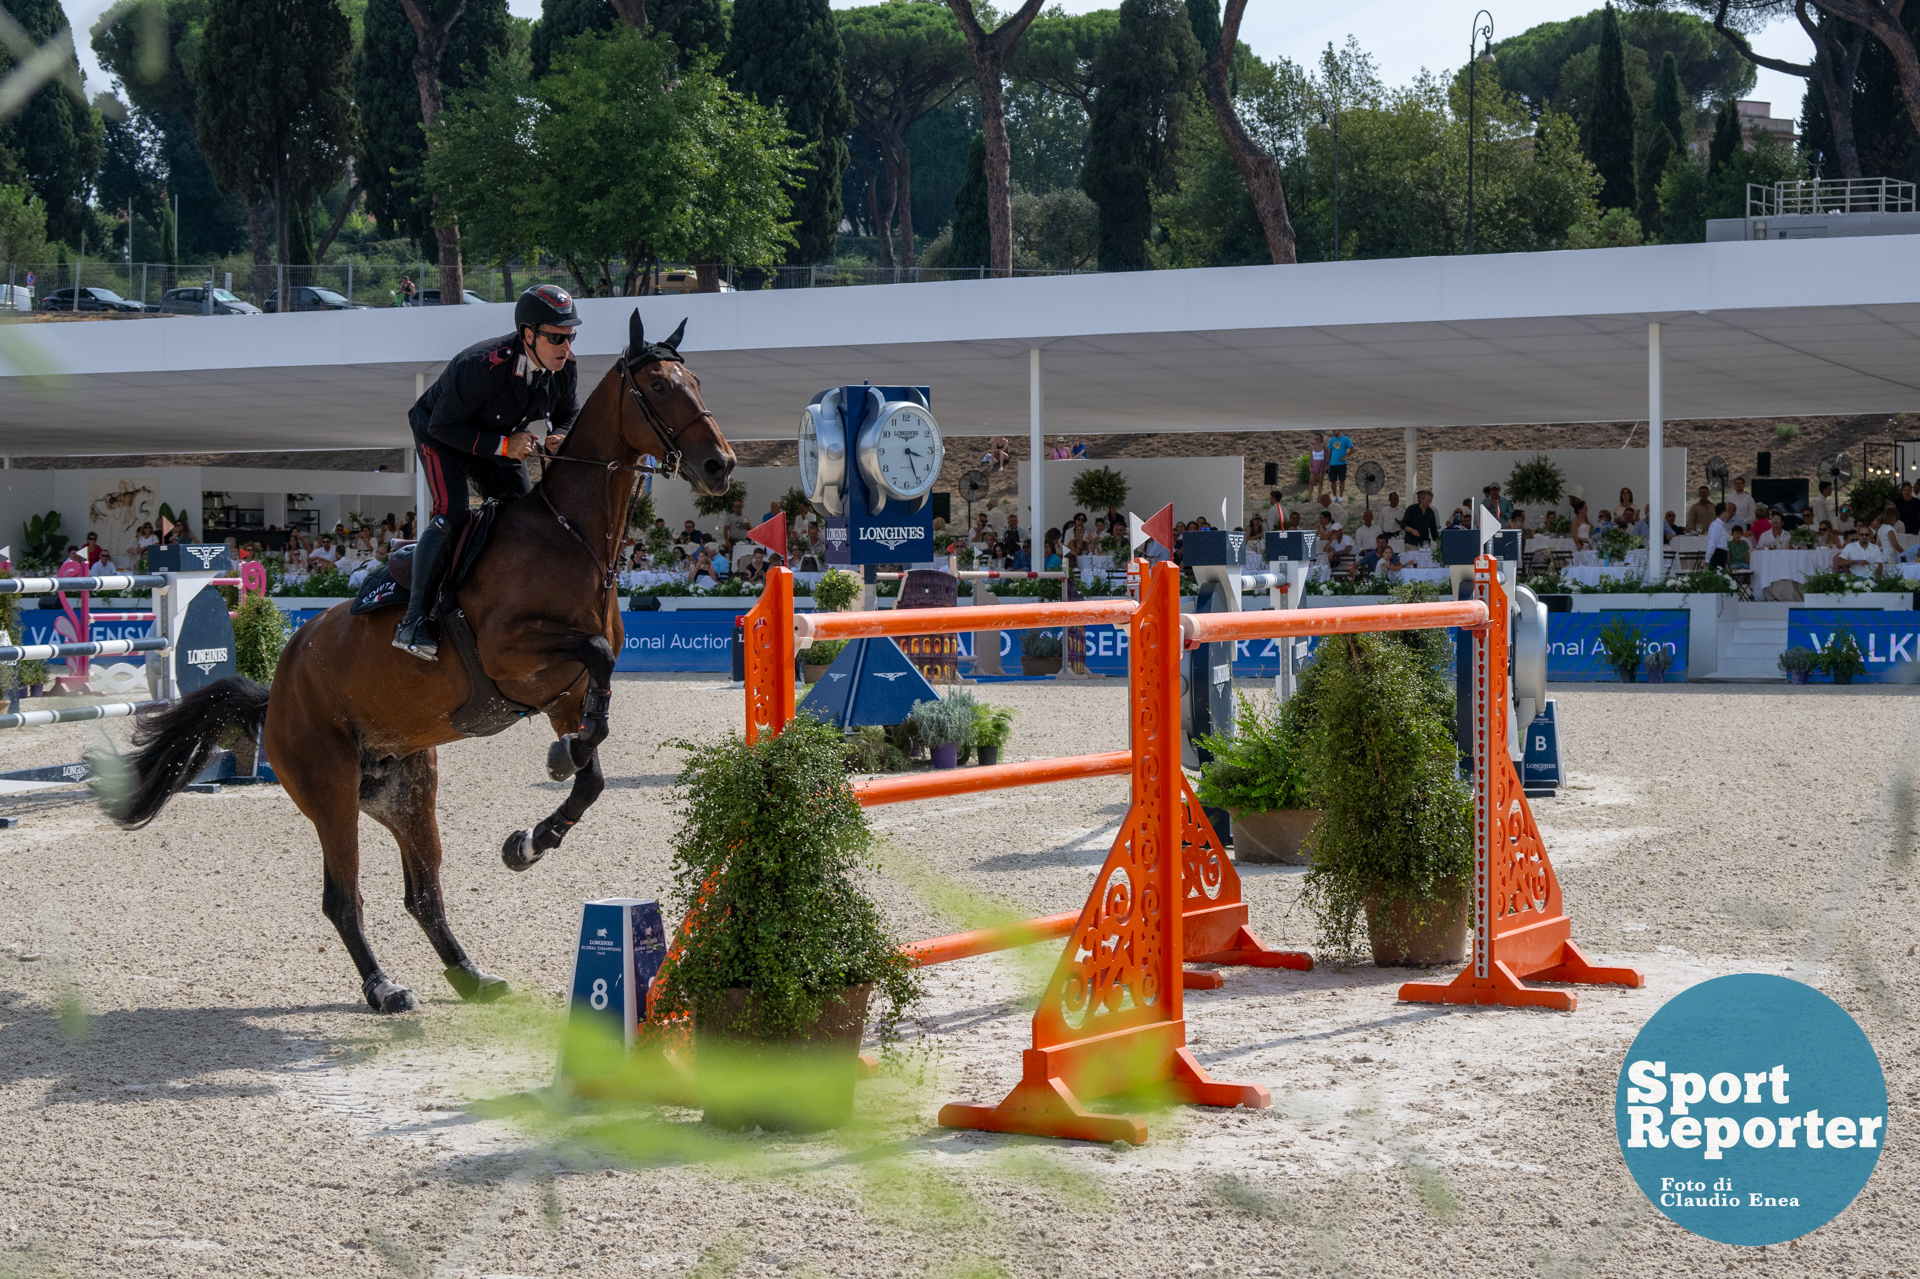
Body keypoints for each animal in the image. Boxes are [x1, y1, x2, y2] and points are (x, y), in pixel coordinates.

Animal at [101, 307, 737, 1006]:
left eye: (697, 381)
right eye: (658, 387)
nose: (720, 465)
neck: (570, 537)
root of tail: (278, 689)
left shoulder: (561, 693)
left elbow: (593, 765)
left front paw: (532, 837)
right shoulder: (511, 652)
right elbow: (596, 659)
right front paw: (559, 764)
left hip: (406, 789)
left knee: (423, 893)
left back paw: (471, 975)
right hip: (329, 790)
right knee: (343, 898)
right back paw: (384, 989)